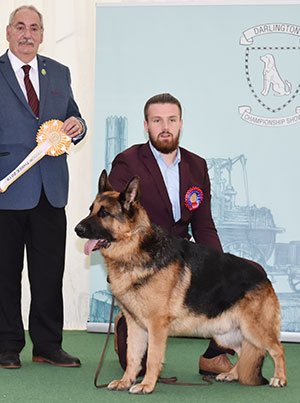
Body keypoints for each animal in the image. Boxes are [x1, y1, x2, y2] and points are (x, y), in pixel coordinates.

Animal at [74, 170, 286, 394]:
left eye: (105, 213)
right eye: (91, 210)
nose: (77, 229)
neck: (134, 247)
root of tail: (264, 277)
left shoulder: (156, 326)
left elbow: (152, 358)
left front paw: (147, 385)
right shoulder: (135, 326)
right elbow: (133, 357)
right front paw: (126, 381)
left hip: (253, 330)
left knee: (277, 348)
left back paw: (279, 378)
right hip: (226, 334)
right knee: (243, 351)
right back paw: (231, 374)